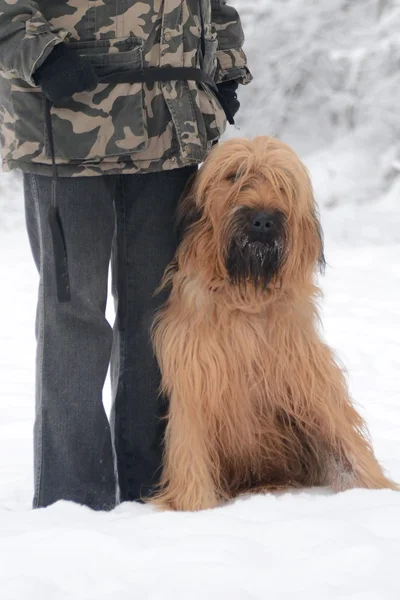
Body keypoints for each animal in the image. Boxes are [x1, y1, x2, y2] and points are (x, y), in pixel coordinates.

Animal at [151, 136, 396, 510]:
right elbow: (189, 450)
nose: (263, 221)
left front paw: (374, 493)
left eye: (282, 183)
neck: (246, 298)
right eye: (235, 176)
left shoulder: (307, 378)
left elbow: (346, 444)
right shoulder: (194, 378)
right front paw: (194, 507)